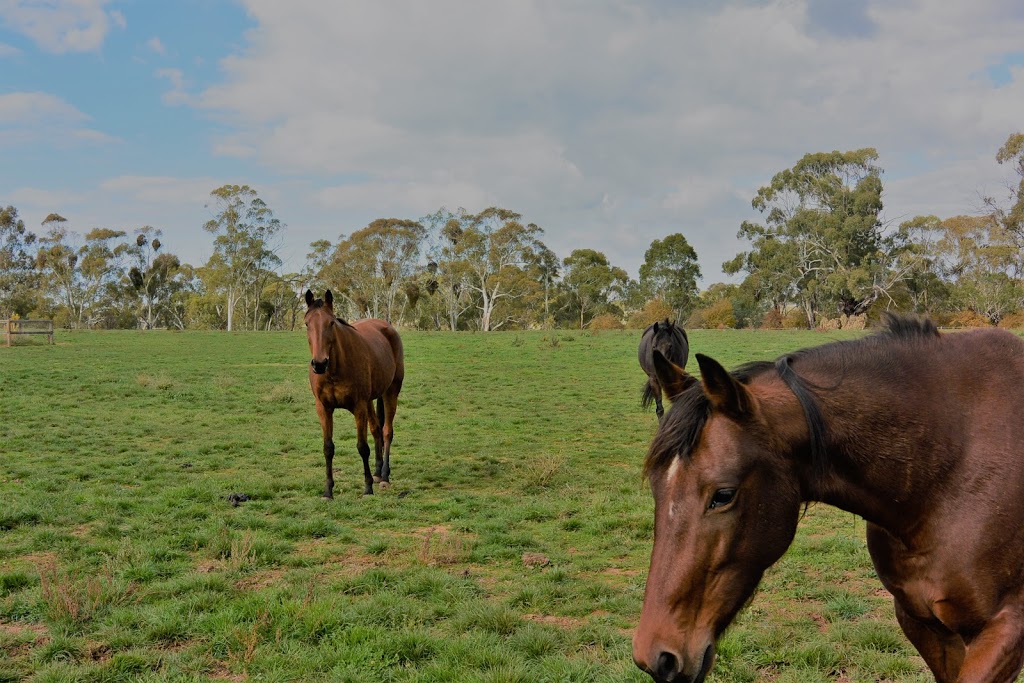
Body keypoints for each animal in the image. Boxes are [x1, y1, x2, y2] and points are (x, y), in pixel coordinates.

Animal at [301, 288, 401, 497]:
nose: (319, 363)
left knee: (387, 431)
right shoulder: (323, 408)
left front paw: (367, 488)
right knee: (376, 429)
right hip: (371, 400)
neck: (334, 370)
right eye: (307, 324)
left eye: (331, 322)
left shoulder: (358, 407)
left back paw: (384, 477)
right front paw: (328, 491)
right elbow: (328, 448)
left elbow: (362, 447)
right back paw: (377, 472)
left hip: (391, 391)